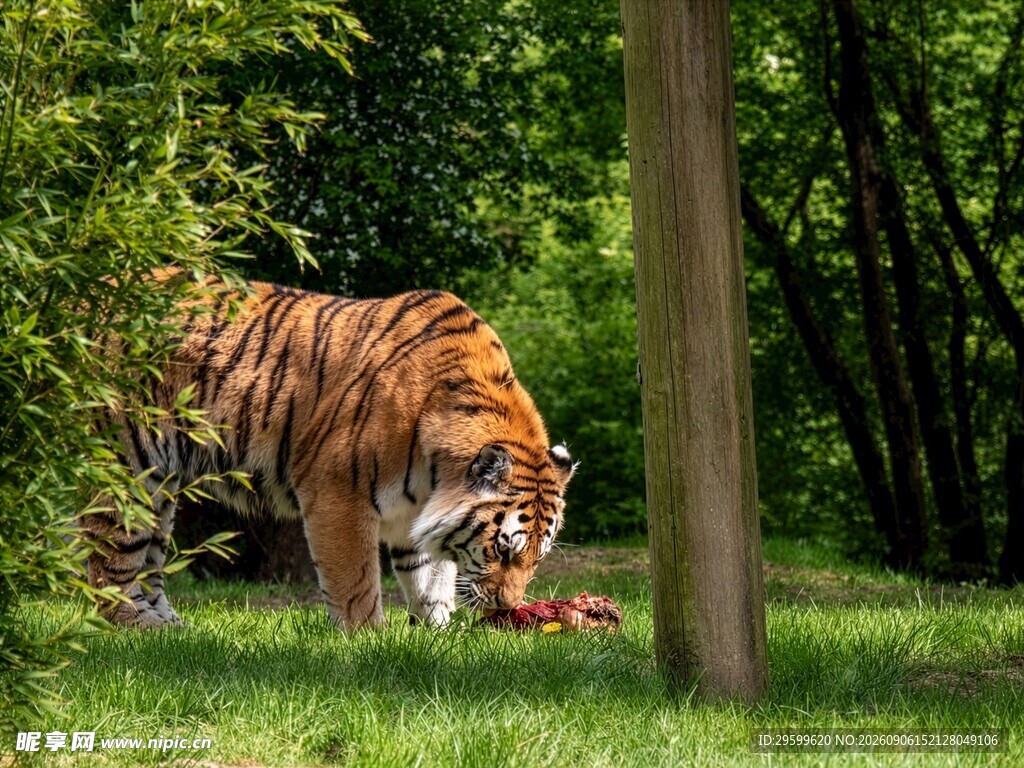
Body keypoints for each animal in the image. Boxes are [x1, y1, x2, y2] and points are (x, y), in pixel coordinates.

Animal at [83, 271, 575, 630]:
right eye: (503, 551)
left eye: (538, 557)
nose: (506, 607)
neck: (435, 472)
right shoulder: (337, 495)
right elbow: (356, 581)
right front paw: (369, 640)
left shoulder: (418, 514)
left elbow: (430, 575)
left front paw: (439, 632)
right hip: (129, 462)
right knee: (111, 561)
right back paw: (135, 624)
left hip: (162, 486)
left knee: (149, 557)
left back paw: (172, 628)